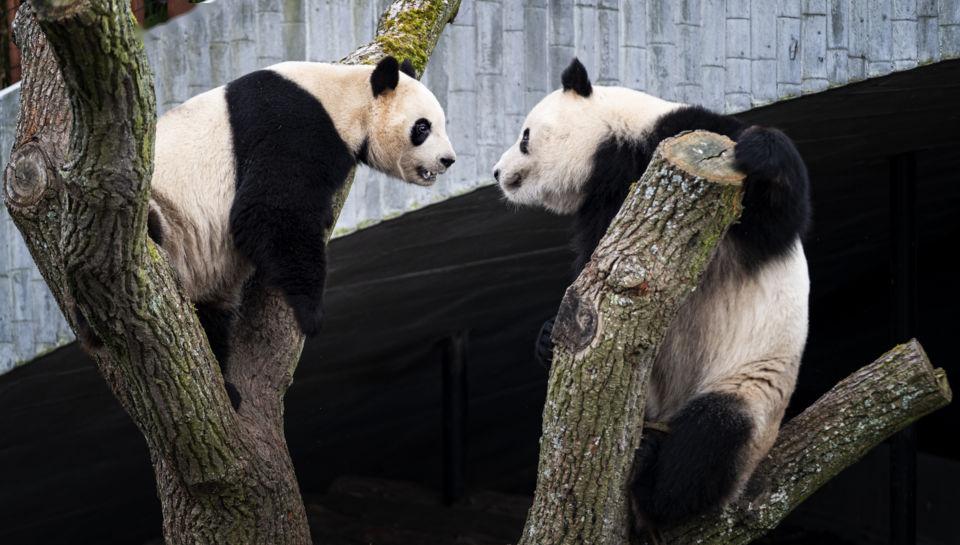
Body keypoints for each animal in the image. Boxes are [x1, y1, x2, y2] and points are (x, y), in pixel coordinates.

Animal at [148, 56, 456, 404]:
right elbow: (267, 211)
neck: (344, 100)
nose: (448, 160)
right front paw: (310, 312)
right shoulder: (291, 126)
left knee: (212, 319)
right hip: (168, 211)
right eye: (423, 127)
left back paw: (226, 387)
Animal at [496, 59, 808, 528]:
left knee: (713, 434)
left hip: (751, 387)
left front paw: (760, 150)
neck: (619, 147)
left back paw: (656, 488)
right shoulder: (604, 206)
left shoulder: (688, 135)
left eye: (525, 137)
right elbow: (592, 277)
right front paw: (548, 337)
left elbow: (782, 215)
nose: (498, 172)